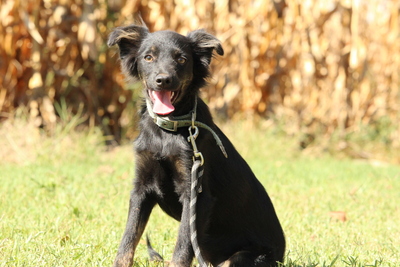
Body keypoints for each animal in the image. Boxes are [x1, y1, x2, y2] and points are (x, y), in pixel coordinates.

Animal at [108, 23, 286, 267]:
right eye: (148, 57)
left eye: (181, 59)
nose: (163, 80)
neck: (167, 130)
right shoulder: (141, 189)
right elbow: (128, 239)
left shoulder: (196, 193)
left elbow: (183, 246)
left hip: (242, 258)